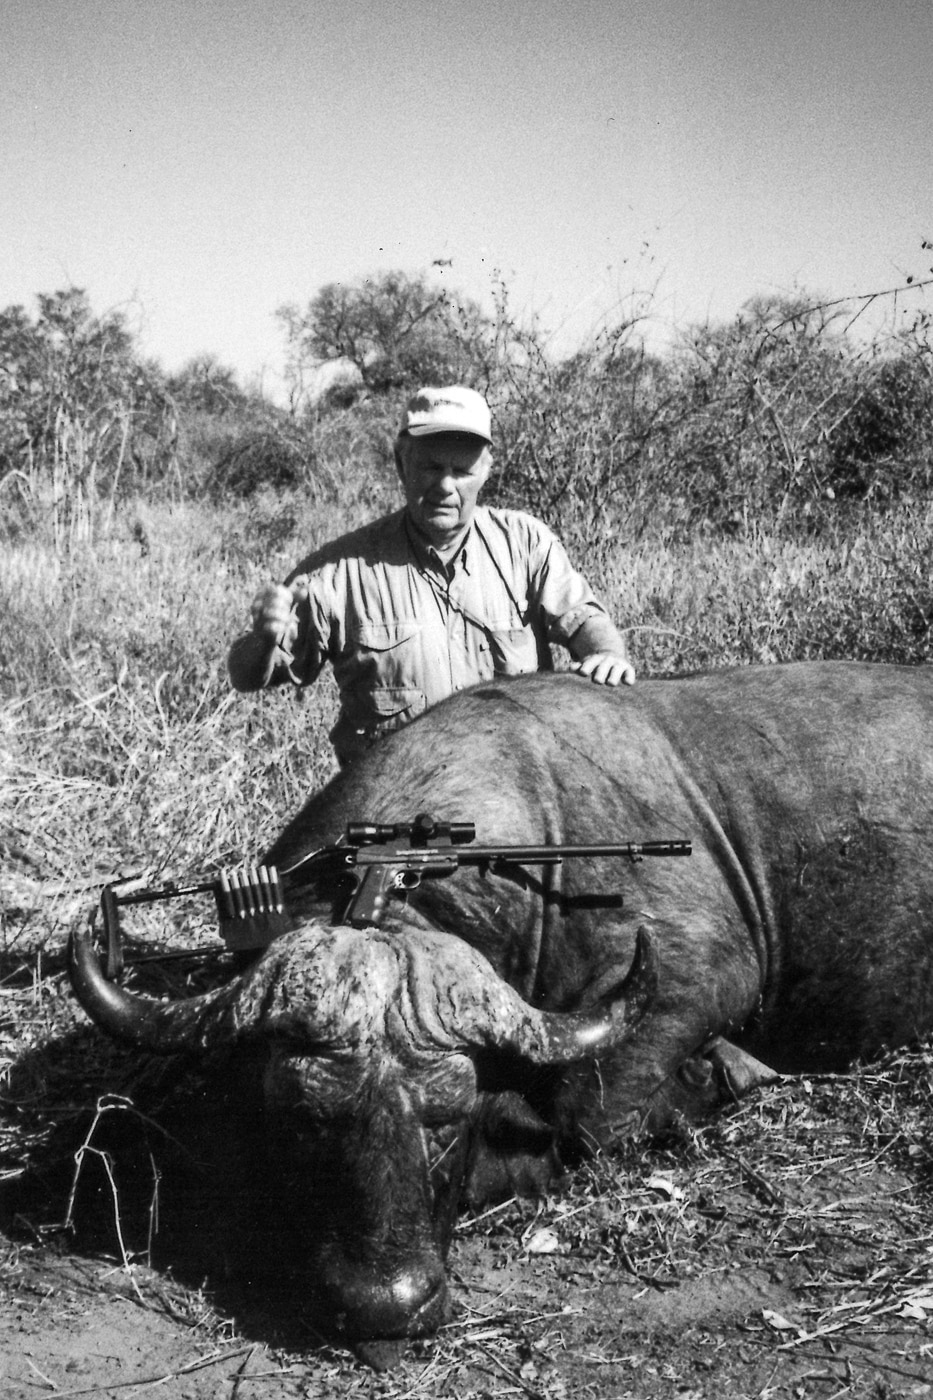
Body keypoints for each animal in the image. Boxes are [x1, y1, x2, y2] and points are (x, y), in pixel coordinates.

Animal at [68, 666, 930, 1344]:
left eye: (445, 1122)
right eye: (305, 1122)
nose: (386, 1304)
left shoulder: (692, 985)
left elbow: (587, 1118)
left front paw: (718, 1079)